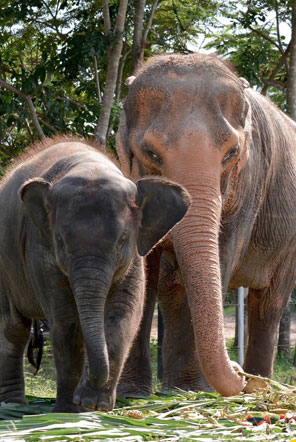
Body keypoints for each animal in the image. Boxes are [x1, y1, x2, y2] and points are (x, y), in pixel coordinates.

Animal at [0, 136, 190, 412]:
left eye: (122, 240)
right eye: (60, 241)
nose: (89, 380)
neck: (88, 164)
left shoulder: (134, 258)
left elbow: (123, 312)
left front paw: (95, 405)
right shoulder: (40, 249)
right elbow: (66, 319)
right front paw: (69, 410)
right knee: (12, 329)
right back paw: (13, 406)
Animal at [116, 52, 296, 398]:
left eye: (231, 153)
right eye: (150, 153)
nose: (237, 373)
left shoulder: (250, 181)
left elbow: (223, 254)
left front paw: (194, 390)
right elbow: (145, 265)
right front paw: (131, 394)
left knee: (270, 301)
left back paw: (257, 388)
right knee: (171, 290)